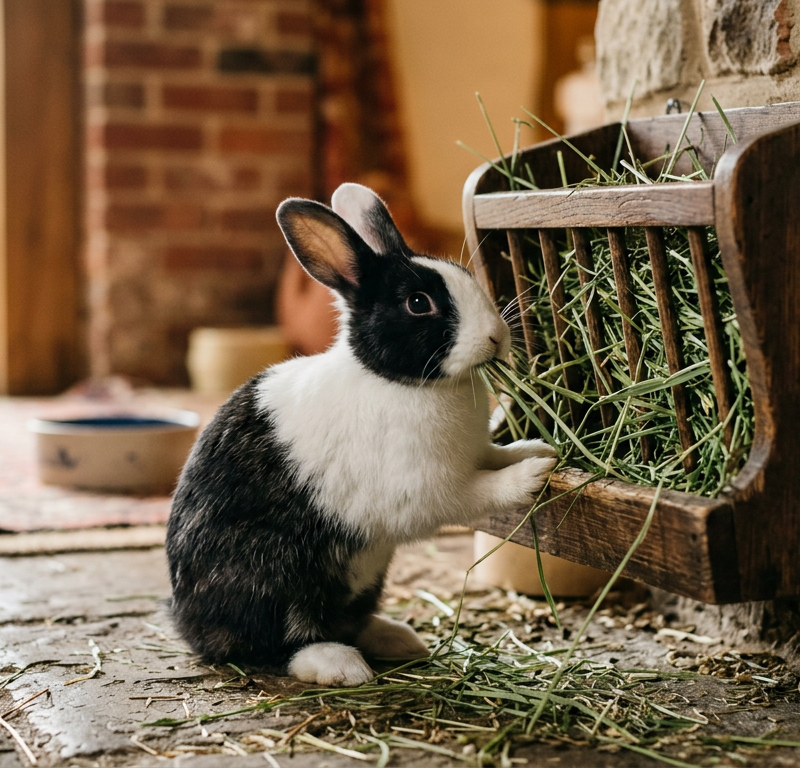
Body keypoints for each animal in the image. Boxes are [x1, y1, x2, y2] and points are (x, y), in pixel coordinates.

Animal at [165, 183, 558, 687]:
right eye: (418, 303)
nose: (496, 338)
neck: (398, 382)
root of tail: (188, 623)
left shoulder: (475, 452)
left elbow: (495, 454)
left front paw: (539, 449)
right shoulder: (427, 488)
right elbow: (478, 492)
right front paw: (533, 474)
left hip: (366, 578)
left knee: (350, 621)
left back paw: (399, 639)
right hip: (276, 574)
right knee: (280, 643)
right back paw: (341, 666)